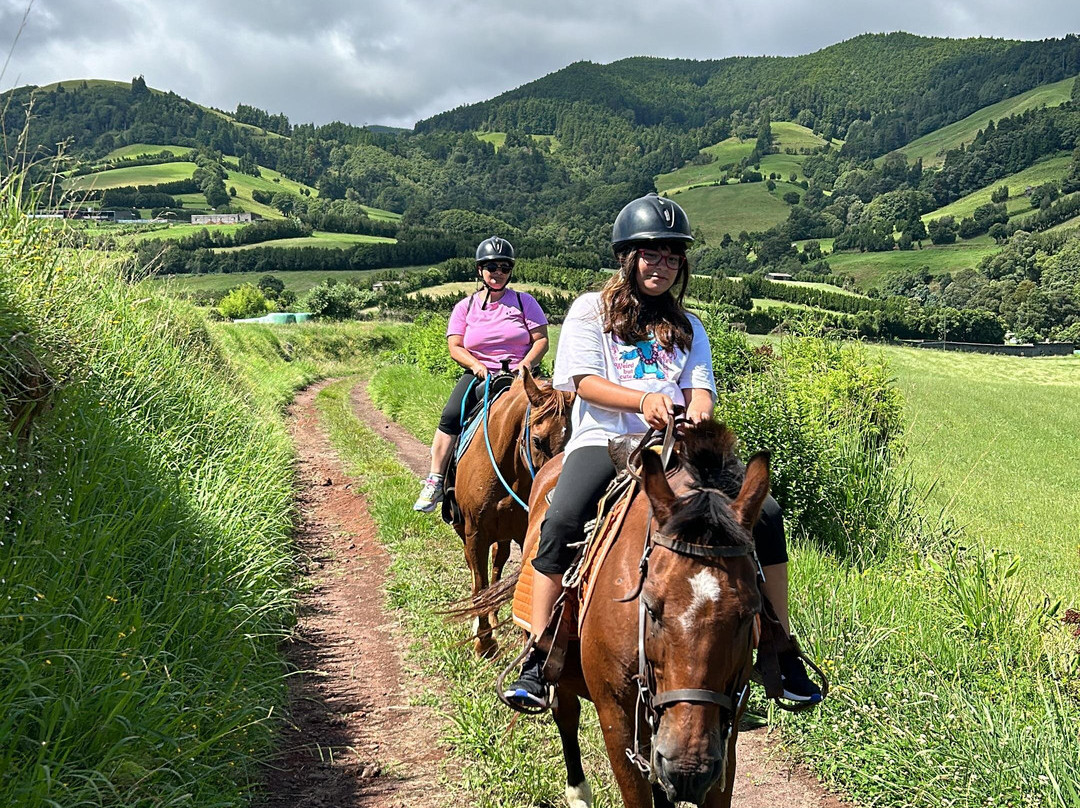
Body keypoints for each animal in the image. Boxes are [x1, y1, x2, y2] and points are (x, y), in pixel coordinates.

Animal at [453, 365, 578, 656]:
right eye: (538, 441)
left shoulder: (524, 535)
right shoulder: (475, 535)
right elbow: (479, 584)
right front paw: (484, 642)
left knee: (498, 562)